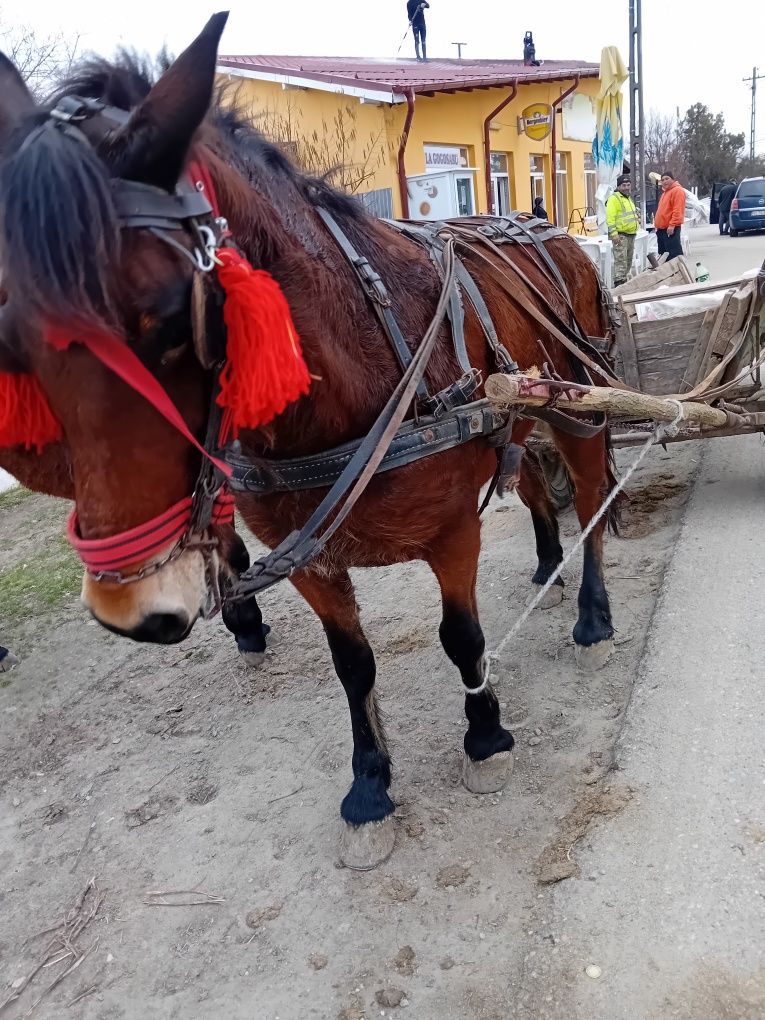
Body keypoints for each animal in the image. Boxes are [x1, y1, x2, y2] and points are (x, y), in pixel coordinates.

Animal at [0, 15, 620, 864]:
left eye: (172, 317)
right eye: (10, 339)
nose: (129, 607)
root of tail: (547, 228)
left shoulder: (450, 533)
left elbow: (460, 637)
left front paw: (484, 735)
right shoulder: (309, 559)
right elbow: (351, 666)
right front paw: (370, 783)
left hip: (573, 403)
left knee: (587, 493)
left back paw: (591, 608)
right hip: (516, 417)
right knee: (530, 484)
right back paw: (546, 564)